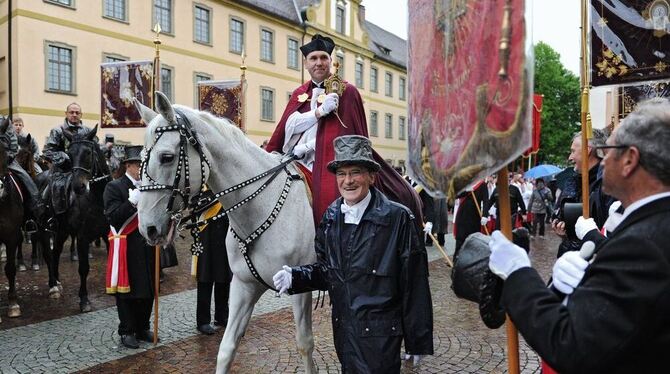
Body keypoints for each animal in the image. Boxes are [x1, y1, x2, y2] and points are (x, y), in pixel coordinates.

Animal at [135, 91, 318, 374]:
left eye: (166, 157)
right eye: (142, 157)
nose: (148, 228)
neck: (259, 209)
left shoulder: (300, 287)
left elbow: (305, 344)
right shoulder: (244, 286)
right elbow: (226, 348)